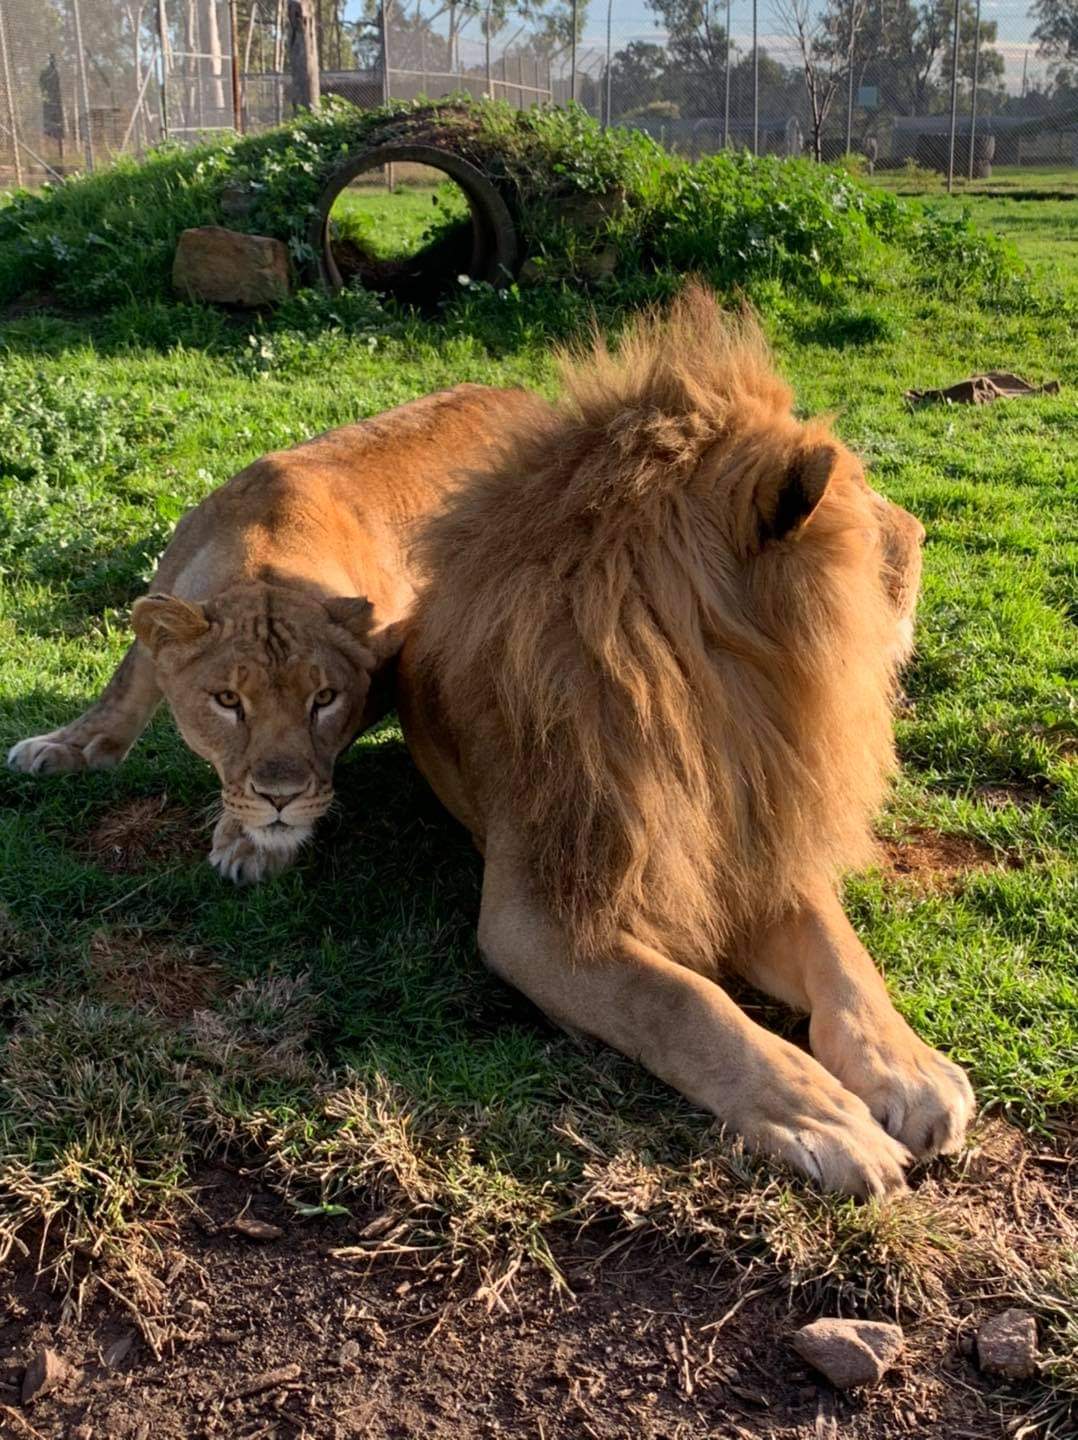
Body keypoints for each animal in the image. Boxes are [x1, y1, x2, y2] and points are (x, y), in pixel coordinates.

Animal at [10, 383, 538, 881]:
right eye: (227, 701)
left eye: (324, 698)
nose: (280, 799)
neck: (267, 549)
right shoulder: (160, 606)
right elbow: (122, 689)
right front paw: (68, 747)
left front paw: (252, 841)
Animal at [400, 286, 972, 1198]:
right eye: (863, 501)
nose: (921, 532)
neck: (722, 716)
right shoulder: (540, 916)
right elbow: (680, 1001)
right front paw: (820, 1114)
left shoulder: (760, 843)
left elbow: (844, 956)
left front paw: (908, 1070)